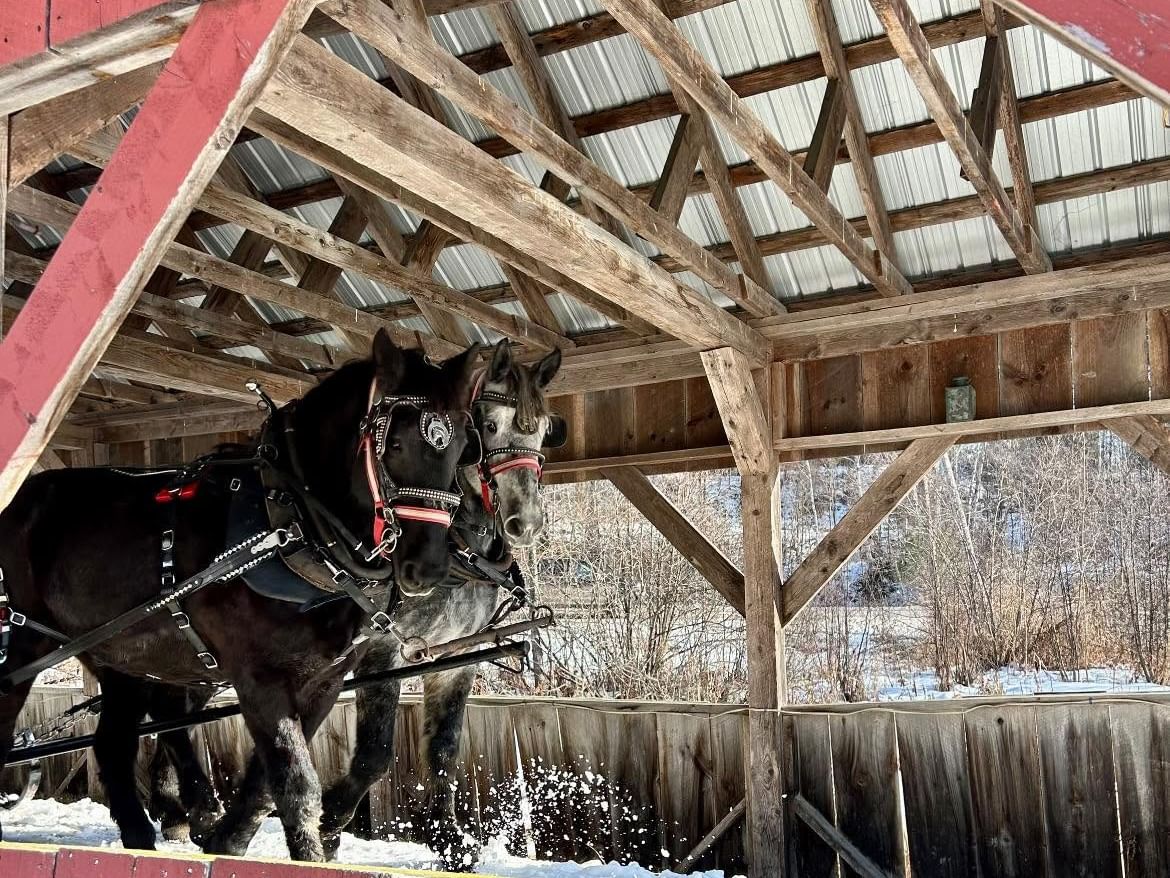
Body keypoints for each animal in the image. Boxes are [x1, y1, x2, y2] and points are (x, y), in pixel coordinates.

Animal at [0, 330, 481, 862]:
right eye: (393, 443)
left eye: (462, 448)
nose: (429, 566)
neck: (289, 525)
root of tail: (24, 497)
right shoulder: (258, 677)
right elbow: (296, 784)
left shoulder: (323, 681)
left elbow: (266, 783)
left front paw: (226, 840)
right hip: (27, 639)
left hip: (121, 657)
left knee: (114, 744)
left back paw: (144, 838)